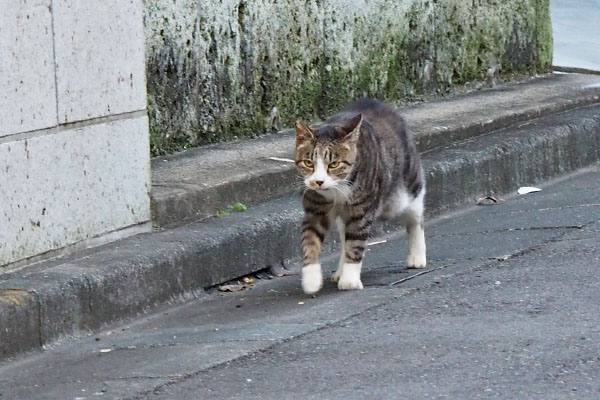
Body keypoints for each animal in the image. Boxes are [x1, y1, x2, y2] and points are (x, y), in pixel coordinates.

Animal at [292, 99, 424, 294]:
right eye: (309, 163)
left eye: (334, 164)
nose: (318, 181)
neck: (336, 191)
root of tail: (377, 103)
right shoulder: (316, 208)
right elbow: (310, 240)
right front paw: (311, 279)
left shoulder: (362, 209)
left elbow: (355, 244)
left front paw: (350, 280)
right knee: (344, 236)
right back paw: (339, 271)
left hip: (403, 191)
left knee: (415, 217)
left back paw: (417, 256)